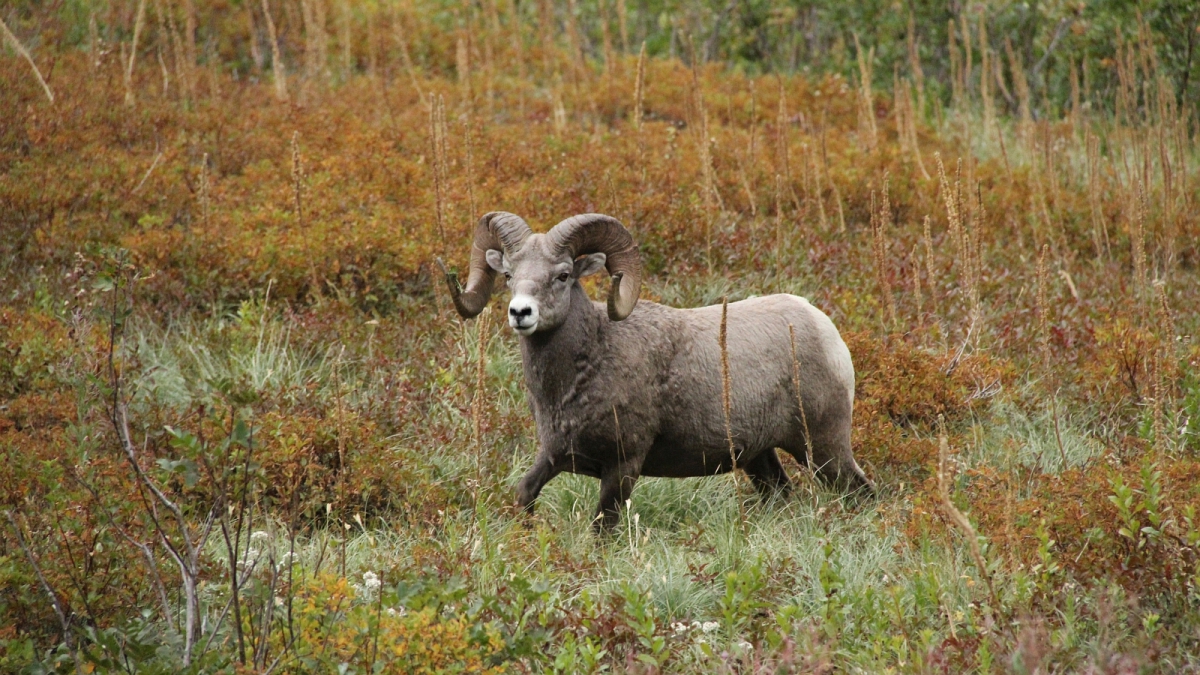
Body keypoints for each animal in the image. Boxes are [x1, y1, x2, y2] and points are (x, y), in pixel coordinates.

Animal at [444, 212, 873, 528]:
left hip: (822, 449)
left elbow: (603, 527)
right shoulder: (554, 456)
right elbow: (524, 495)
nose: (520, 313)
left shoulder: (623, 466)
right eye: (508, 276)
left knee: (860, 491)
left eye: (563, 275)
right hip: (760, 459)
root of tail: (825, 328)